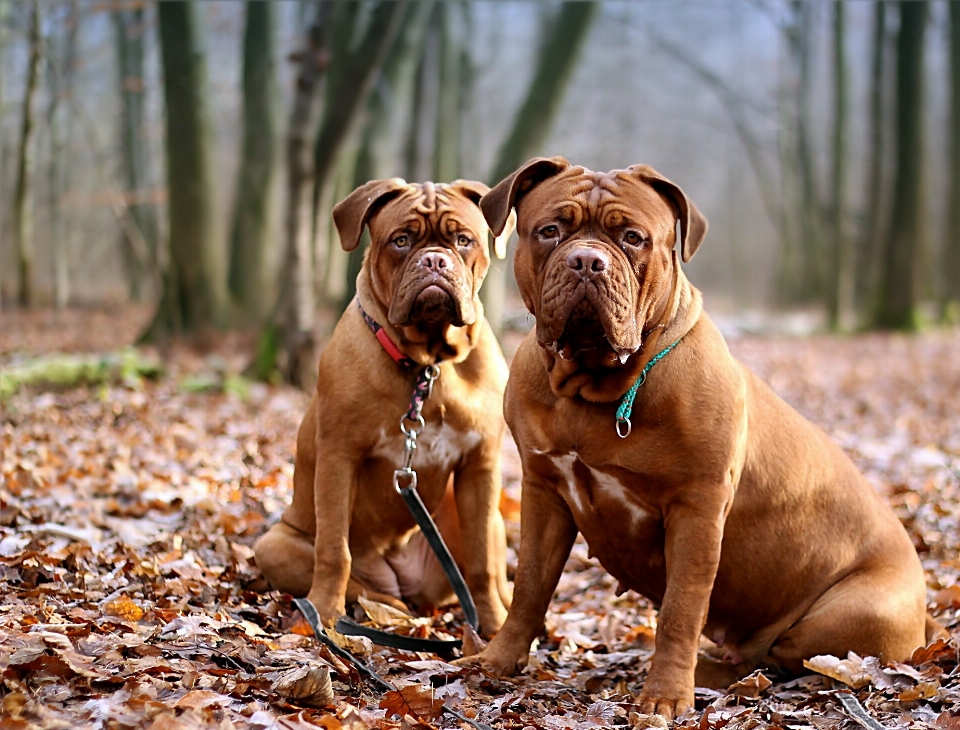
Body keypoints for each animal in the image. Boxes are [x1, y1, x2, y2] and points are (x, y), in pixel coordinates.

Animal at [251, 179, 512, 636]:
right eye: (401, 241)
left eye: (464, 241)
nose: (434, 259)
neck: (428, 364)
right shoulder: (339, 457)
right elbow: (333, 549)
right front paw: (325, 611)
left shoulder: (480, 466)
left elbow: (482, 562)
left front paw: (495, 627)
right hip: (276, 544)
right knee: (361, 584)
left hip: (486, 517)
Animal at [468, 158, 932, 724]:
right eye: (550, 231)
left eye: (633, 238)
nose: (586, 261)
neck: (596, 388)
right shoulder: (544, 491)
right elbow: (530, 586)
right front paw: (496, 661)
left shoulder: (697, 511)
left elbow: (680, 610)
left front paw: (665, 695)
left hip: (845, 616)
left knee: (785, 659)